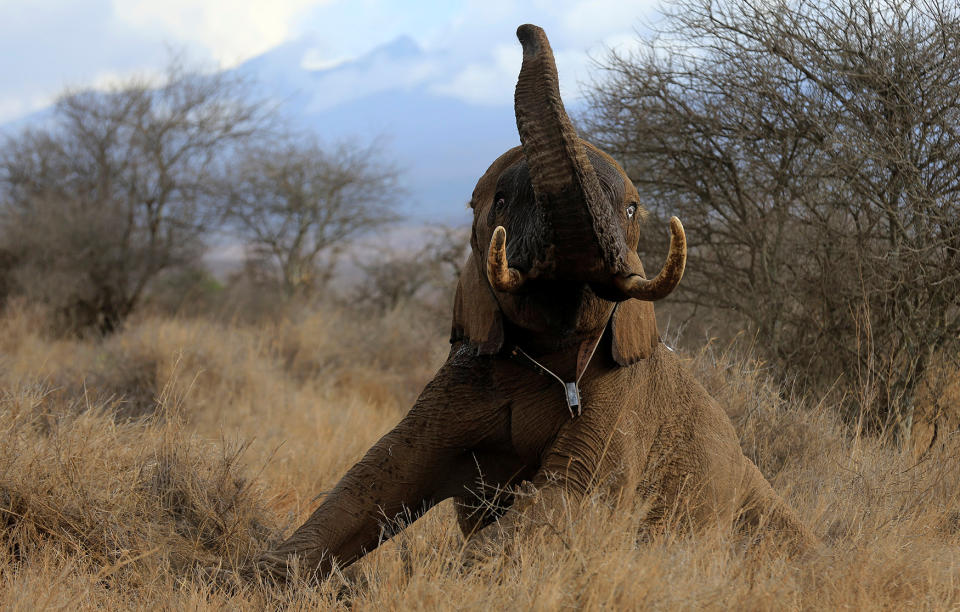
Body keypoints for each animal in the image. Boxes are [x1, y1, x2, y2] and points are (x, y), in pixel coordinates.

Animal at [256, 22, 816, 580]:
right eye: (498, 203)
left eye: (631, 209)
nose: (524, 30)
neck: (550, 350)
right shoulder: (459, 379)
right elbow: (378, 474)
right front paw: (261, 576)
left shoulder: (623, 399)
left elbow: (569, 494)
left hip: (760, 505)